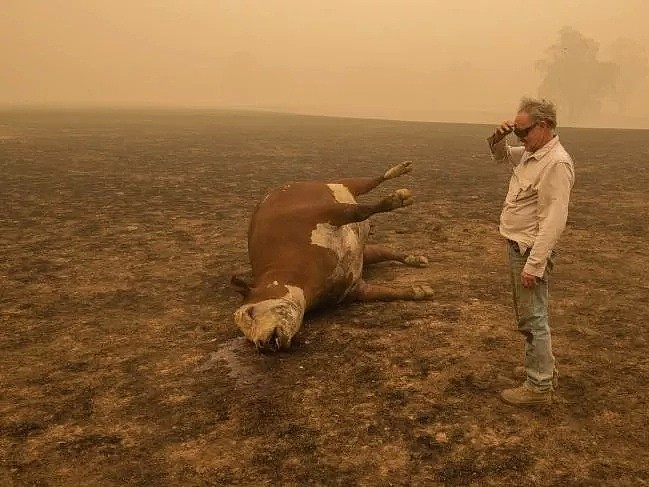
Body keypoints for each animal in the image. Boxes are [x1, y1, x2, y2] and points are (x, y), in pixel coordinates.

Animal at [230, 162, 432, 352]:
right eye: (248, 339)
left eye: (250, 312)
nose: (262, 346)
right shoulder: (355, 289)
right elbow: (388, 293)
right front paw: (419, 291)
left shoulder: (325, 214)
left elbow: (358, 211)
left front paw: (396, 199)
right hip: (365, 252)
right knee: (384, 251)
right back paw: (413, 259)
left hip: (346, 184)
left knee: (374, 181)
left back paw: (398, 171)